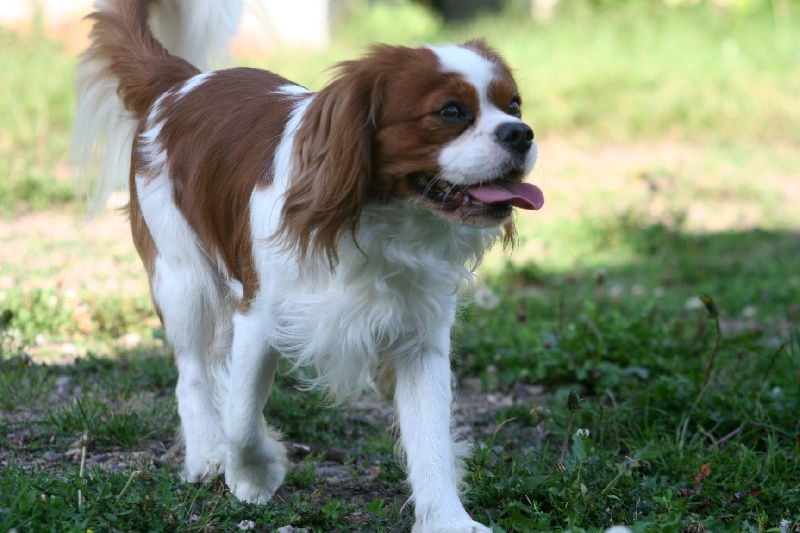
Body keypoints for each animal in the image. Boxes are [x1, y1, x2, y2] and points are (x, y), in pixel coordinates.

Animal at [73, 1, 544, 528]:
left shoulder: (420, 338)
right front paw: (254, 475)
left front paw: (448, 520)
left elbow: (430, 439)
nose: (521, 134)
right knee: (192, 373)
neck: (380, 221)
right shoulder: (259, 315)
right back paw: (206, 455)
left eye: (515, 105)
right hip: (182, 280)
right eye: (450, 112)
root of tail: (179, 82)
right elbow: (241, 417)